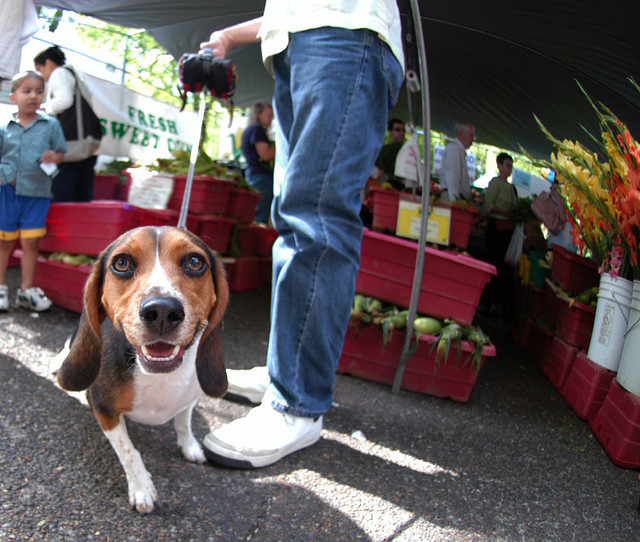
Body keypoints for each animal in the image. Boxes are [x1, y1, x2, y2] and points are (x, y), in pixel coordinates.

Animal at [55, 226, 229, 516]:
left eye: (195, 262)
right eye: (122, 263)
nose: (162, 310)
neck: (159, 376)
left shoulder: (189, 400)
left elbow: (183, 424)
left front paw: (189, 446)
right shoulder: (105, 411)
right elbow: (129, 452)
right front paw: (142, 487)